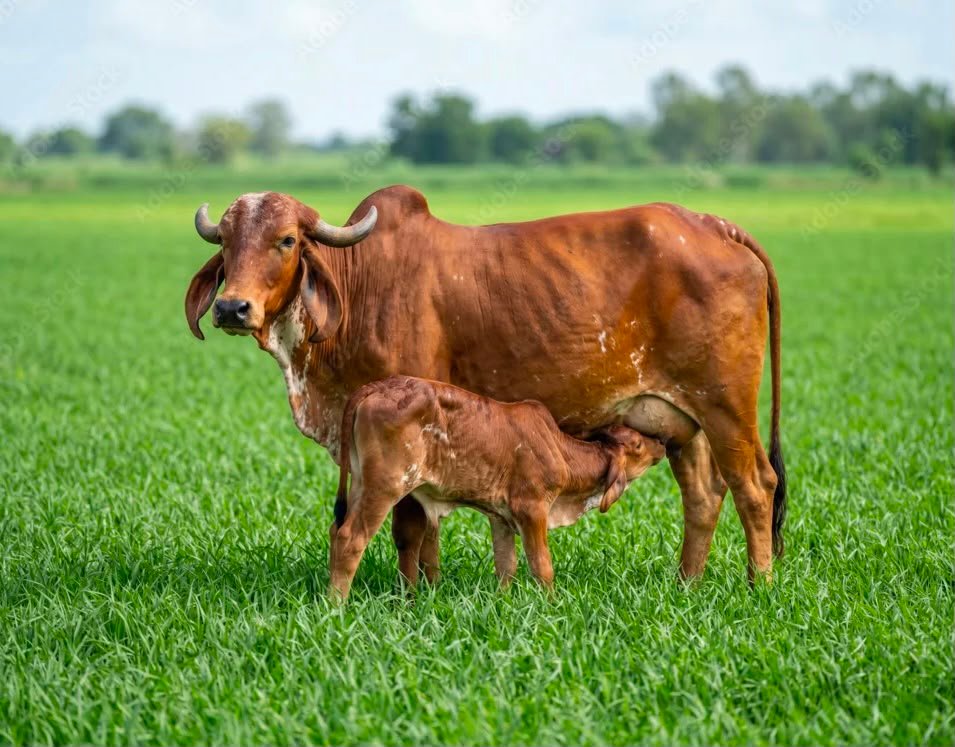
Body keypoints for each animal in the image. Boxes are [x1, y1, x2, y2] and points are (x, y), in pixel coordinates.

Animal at [328, 375, 666, 599]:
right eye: (637, 444)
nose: (661, 443)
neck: (560, 451)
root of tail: (374, 387)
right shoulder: (532, 508)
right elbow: (542, 566)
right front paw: (552, 605)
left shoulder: (500, 517)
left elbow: (507, 565)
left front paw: (504, 602)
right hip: (385, 486)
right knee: (350, 538)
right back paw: (337, 604)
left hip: (360, 482)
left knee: (336, 528)